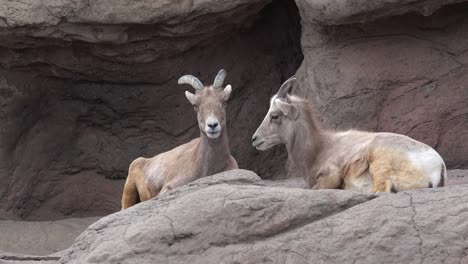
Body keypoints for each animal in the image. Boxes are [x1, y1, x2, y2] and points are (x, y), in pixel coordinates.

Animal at [252, 76, 446, 192]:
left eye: (275, 116)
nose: (255, 139)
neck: (320, 148)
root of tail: (438, 166)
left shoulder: (330, 177)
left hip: (380, 167)